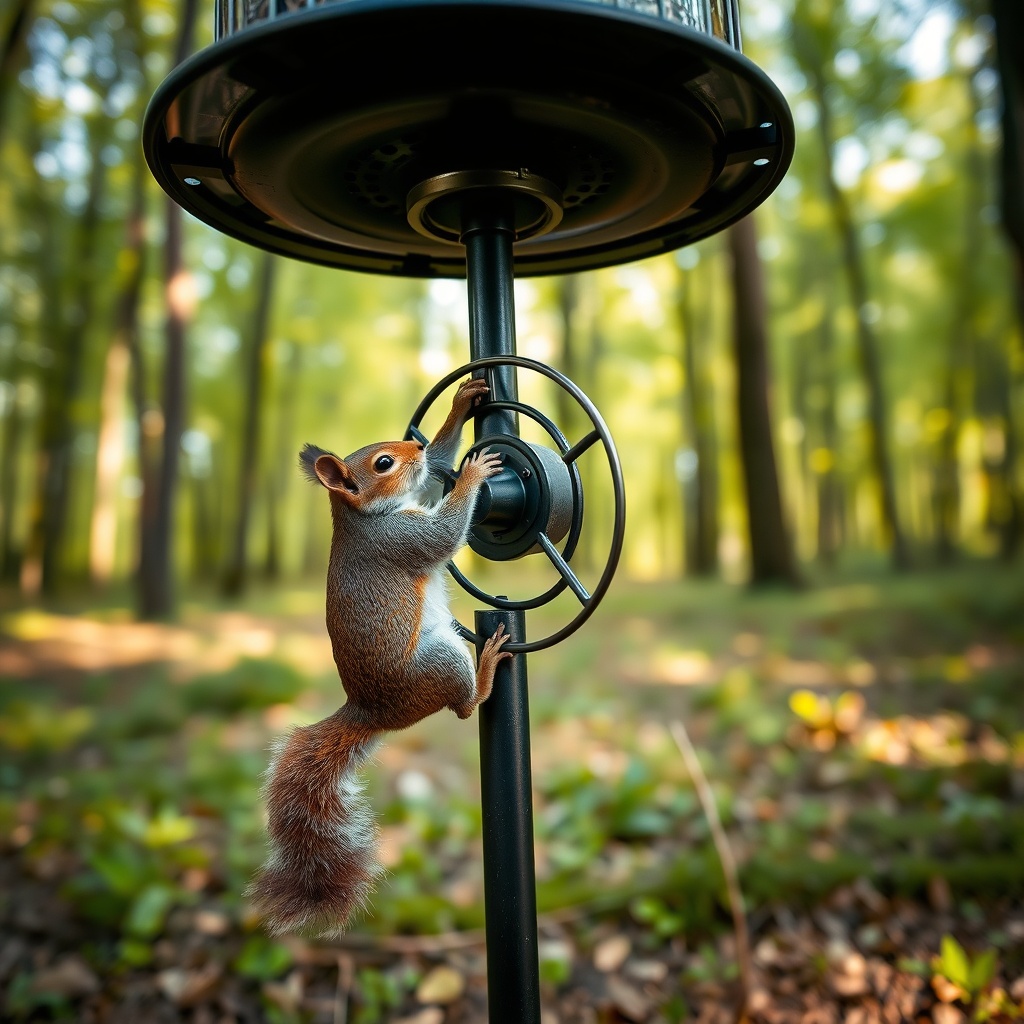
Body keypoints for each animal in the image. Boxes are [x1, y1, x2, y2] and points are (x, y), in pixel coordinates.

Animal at [245, 376, 512, 938]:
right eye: (383, 464)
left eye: (401, 450)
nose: (417, 450)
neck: (366, 517)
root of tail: (373, 712)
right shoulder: (399, 540)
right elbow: (443, 531)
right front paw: (472, 474)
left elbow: (436, 476)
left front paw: (459, 406)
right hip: (441, 663)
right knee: (464, 707)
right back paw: (487, 667)